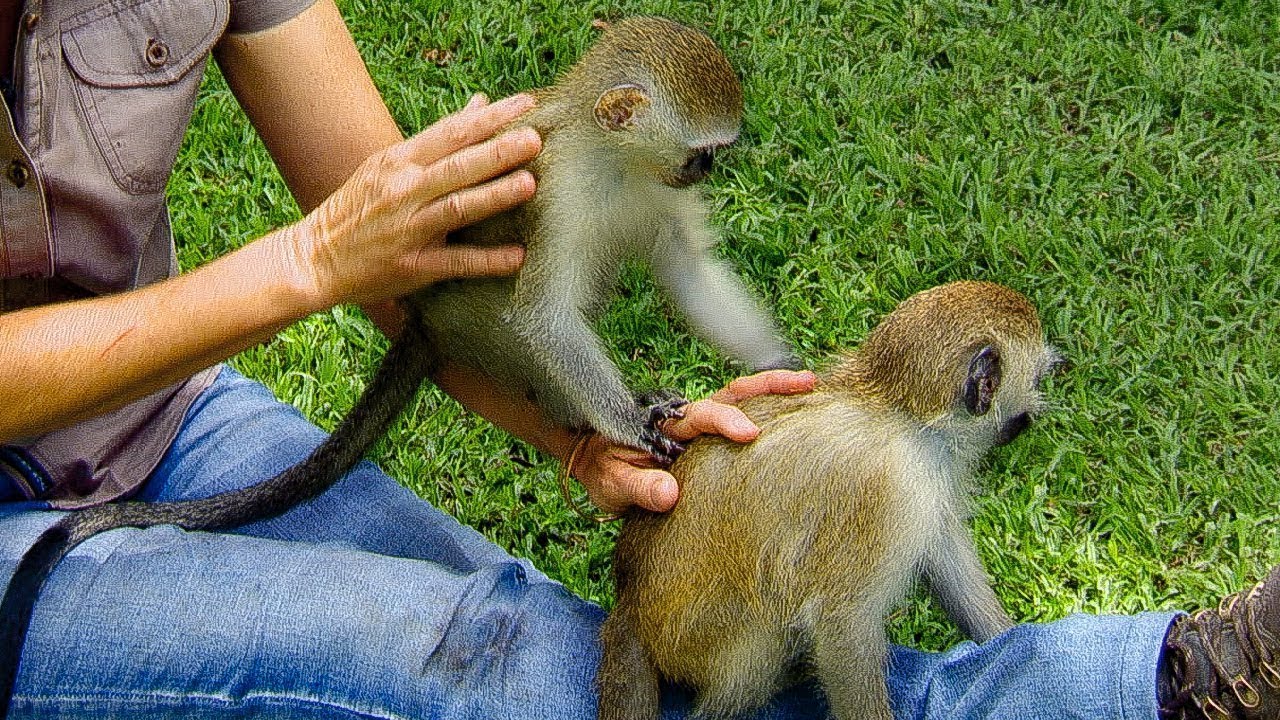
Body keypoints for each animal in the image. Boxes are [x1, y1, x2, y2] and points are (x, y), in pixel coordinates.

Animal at [596, 281, 1061, 720]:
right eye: (1036, 380)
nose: (1034, 413)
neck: (901, 413)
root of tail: (630, 601)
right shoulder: (891, 490)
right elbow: (844, 627)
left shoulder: (927, 486)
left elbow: (945, 556)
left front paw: (1003, 640)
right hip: (702, 638)